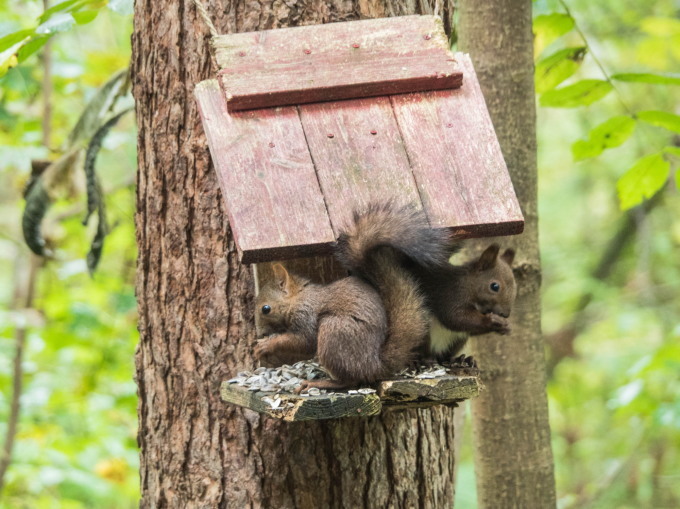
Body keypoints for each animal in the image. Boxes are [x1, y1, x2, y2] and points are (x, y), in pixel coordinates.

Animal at [252, 203, 448, 392]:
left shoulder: (306, 315)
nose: (260, 334)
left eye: (266, 309)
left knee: (350, 380)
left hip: (334, 332)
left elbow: (304, 341)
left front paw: (266, 345)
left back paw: (320, 383)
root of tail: (375, 365)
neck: (299, 298)